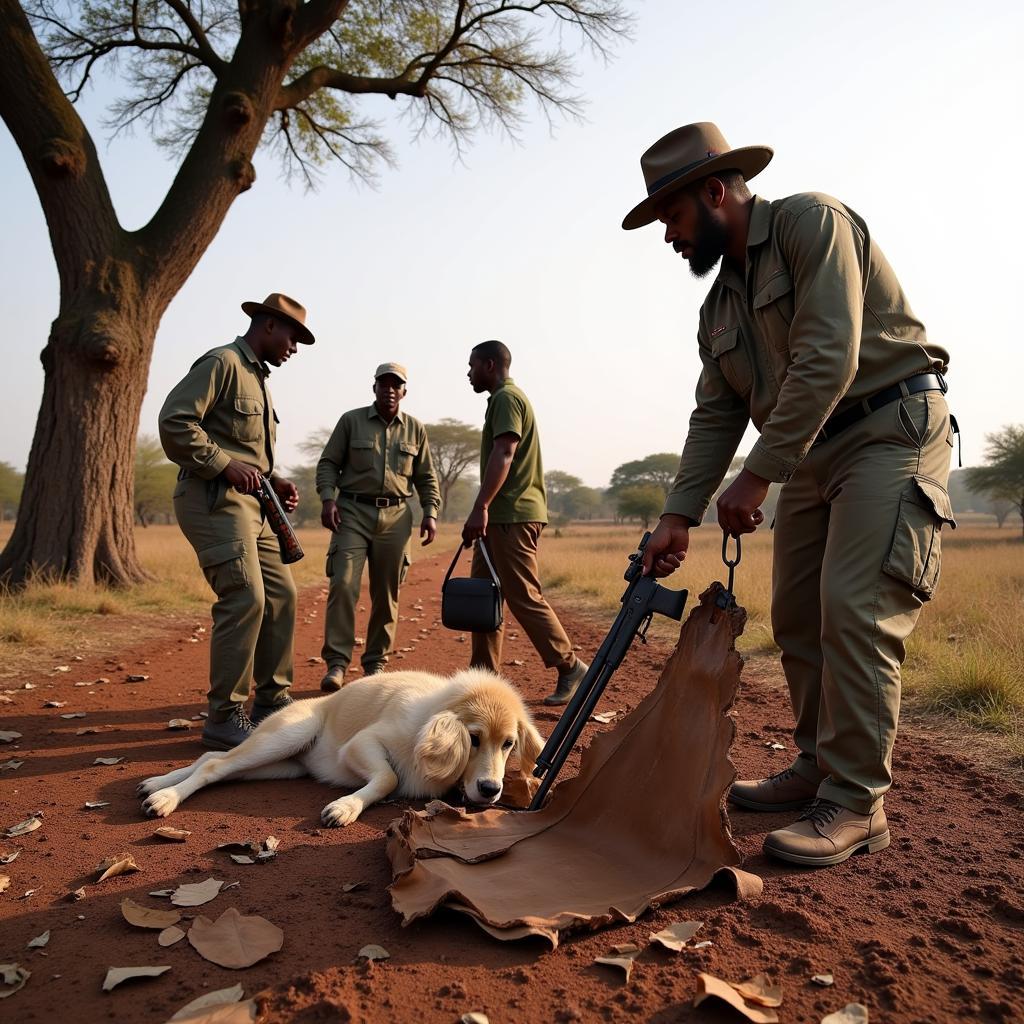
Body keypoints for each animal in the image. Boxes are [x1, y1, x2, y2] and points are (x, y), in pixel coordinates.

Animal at [141, 667, 548, 827]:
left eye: (509, 743)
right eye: (473, 738)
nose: (490, 789)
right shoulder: (359, 745)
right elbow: (387, 778)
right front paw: (344, 808)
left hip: (281, 765)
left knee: (216, 760)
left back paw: (157, 783)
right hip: (285, 737)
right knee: (215, 764)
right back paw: (163, 798)